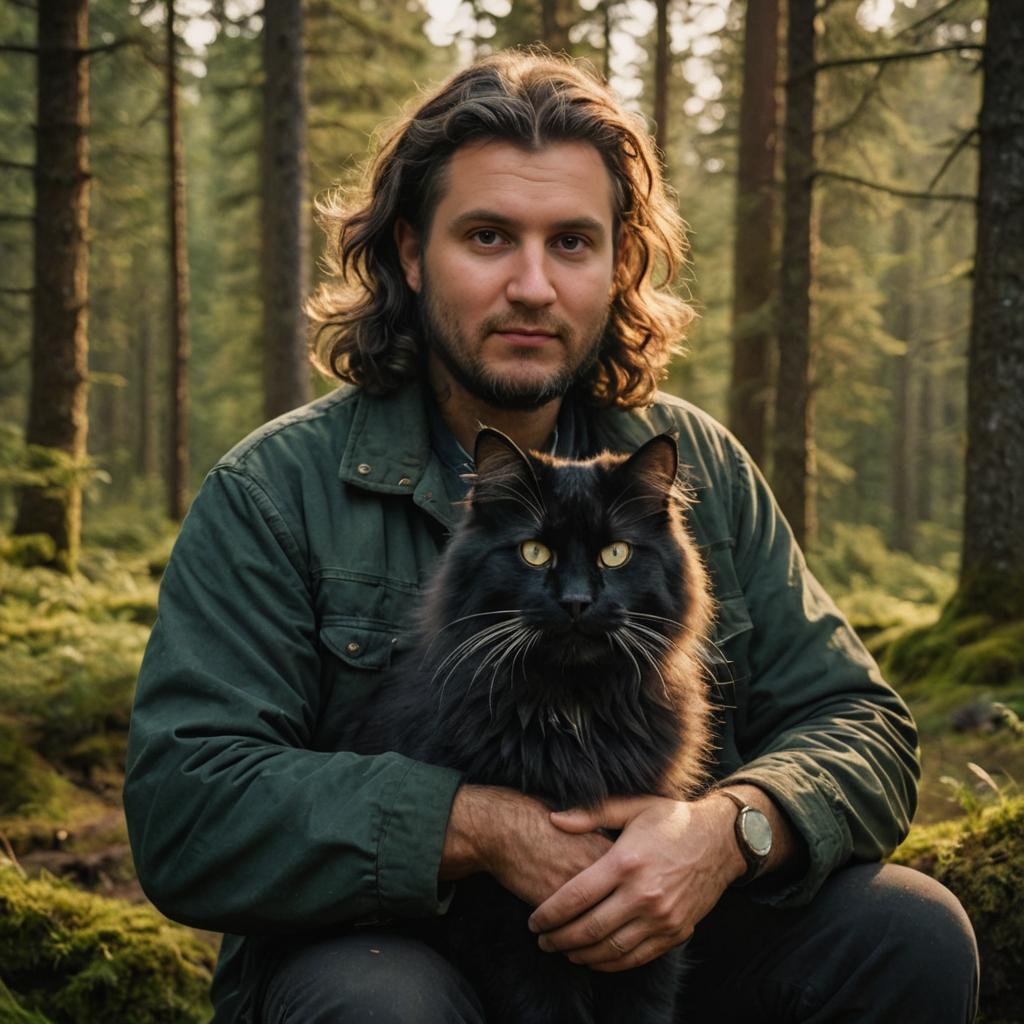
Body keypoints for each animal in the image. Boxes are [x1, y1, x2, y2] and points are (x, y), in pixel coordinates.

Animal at [344, 428, 712, 1024]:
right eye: (534, 553)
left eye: (616, 553)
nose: (577, 600)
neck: (574, 712)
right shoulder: (508, 925)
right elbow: (545, 1005)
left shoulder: (650, 919)